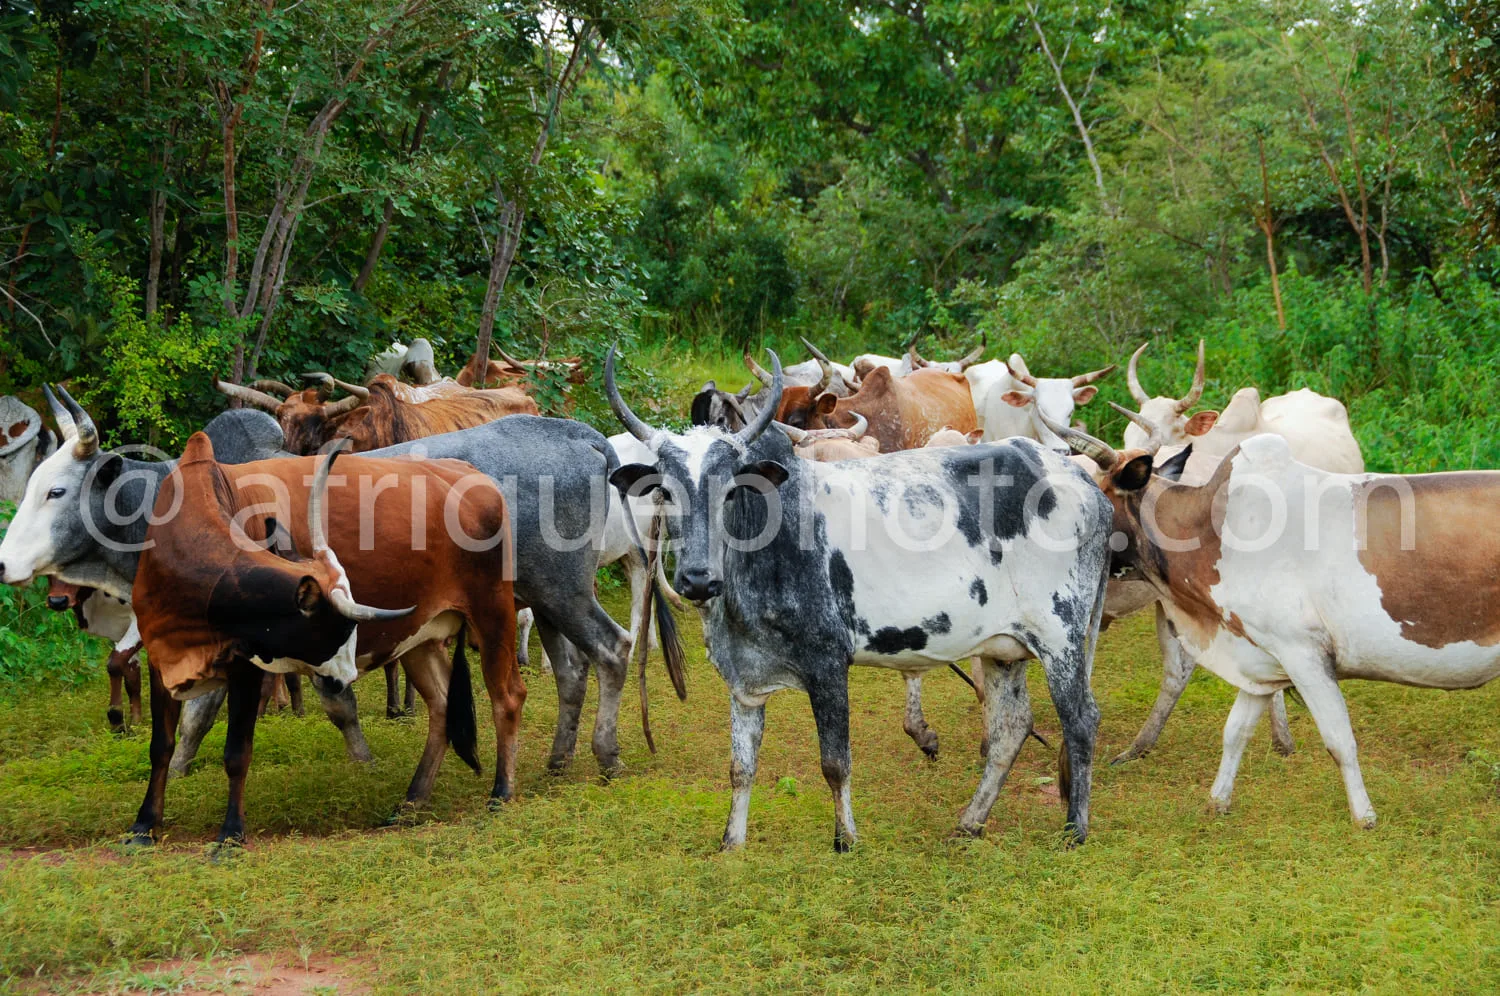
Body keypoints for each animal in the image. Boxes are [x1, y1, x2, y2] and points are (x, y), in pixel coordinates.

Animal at [45, 579, 144, 733]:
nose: (57, 601)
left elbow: (114, 663)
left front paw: (117, 722)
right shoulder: (119, 628)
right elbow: (132, 679)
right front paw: (135, 724)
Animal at [128, 436, 520, 846]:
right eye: (337, 630)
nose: (344, 680)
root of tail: (474, 476)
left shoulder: (245, 667)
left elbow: (236, 752)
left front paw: (231, 834)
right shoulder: (161, 661)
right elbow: (161, 747)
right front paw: (144, 825)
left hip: (493, 612)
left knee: (507, 697)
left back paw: (501, 792)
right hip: (420, 640)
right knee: (443, 708)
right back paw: (411, 802)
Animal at [1051, 413, 1500, 829]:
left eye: (1098, 494)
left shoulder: (1303, 651)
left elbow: (1339, 739)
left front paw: (1364, 817)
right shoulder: (1260, 655)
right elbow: (1234, 732)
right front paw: (1216, 802)